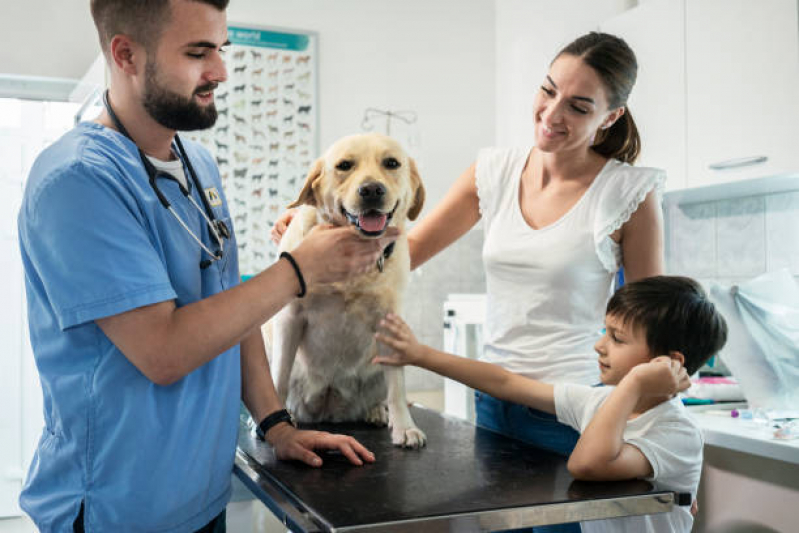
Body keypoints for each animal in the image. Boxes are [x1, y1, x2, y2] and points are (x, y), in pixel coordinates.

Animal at [268, 134, 428, 448]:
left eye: (391, 163)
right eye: (344, 165)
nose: (372, 190)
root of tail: (330, 409)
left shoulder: (389, 323)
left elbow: (397, 387)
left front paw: (405, 427)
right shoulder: (289, 318)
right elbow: (277, 377)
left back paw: (377, 411)